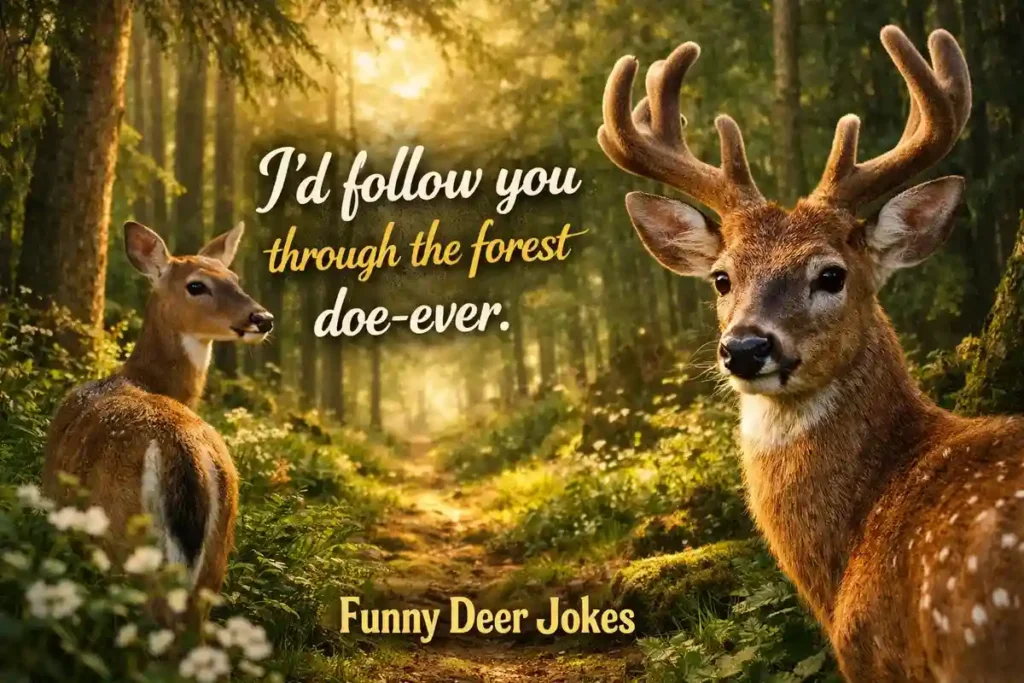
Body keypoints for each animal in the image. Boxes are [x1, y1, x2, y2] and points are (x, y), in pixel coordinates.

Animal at [42, 221, 274, 606]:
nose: (263, 318)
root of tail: (184, 455)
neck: (143, 377)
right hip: (215, 556)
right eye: (196, 285)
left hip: (122, 539)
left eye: (234, 278)